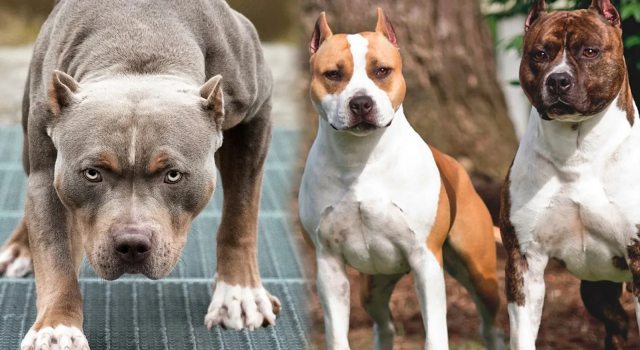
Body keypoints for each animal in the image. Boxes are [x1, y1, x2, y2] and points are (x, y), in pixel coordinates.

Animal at [0, 0, 280, 346]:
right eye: (92, 174)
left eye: (172, 175)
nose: (131, 244)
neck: (139, 47)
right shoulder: (47, 171)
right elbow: (56, 255)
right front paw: (56, 328)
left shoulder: (257, 116)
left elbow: (241, 215)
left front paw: (239, 294)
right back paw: (21, 249)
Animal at [300, 8, 504, 350]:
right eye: (333, 74)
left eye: (382, 70)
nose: (361, 103)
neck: (361, 159)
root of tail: (458, 167)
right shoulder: (329, 264)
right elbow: (337, 333)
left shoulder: (426, 260)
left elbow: (435, 333)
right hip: (373, 288)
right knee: (384, 325)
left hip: (479, 274)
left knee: (491, 327)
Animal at [502, 0, 640, 350]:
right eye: (539, 54)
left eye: (589, 51)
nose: (558, 80)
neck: (577, 153)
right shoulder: (524, 261)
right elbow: (522, 333)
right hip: (597, 289)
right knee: (617, 323)